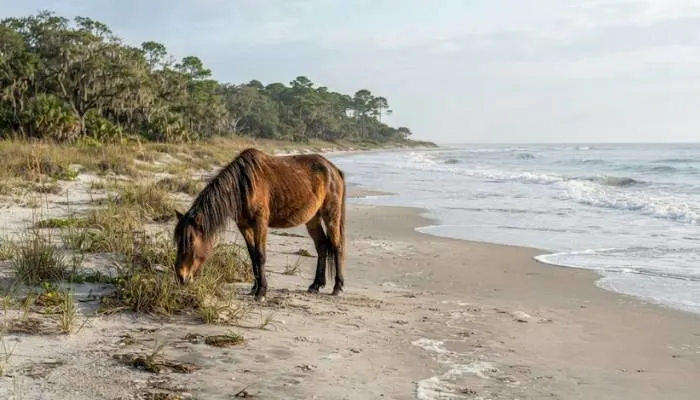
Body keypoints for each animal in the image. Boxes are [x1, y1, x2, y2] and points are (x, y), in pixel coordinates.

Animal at [172, 147, 347, 302]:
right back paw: (315, 285)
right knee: (322, 246)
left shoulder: (260, 222)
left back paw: (337, 287)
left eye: (190, 243)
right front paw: (254, 288)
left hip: (331, 215)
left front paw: (261, 292)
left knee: (336, 246)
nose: (181, 276)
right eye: (178, 242)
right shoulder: (244, 226)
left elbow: (261, 255)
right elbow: (253, 255)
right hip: (312, 219)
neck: (243, 186)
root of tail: (333, 169)